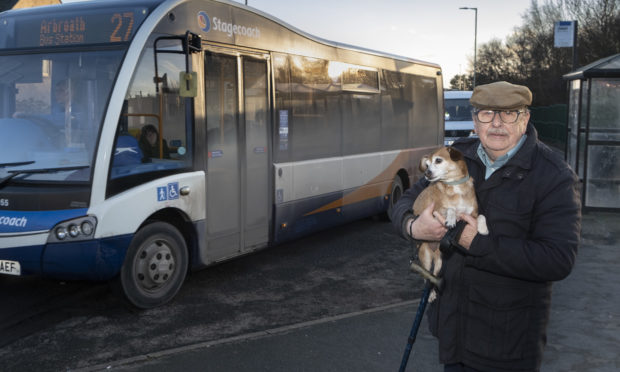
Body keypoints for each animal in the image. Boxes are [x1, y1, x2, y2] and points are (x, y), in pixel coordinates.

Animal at [414, 147, 486, 300]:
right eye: (427, 165)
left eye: (438, 160)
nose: (426, 173)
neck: (455, 185)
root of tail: (434, 251)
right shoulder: (434, 212)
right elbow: (450, 209)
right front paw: (451, 218)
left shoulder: (472, 214)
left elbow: (482, 216)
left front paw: (483, 229)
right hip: (426, 257)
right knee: (425, 276)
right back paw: (429, 294)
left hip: (440, 262)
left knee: (433, 276)